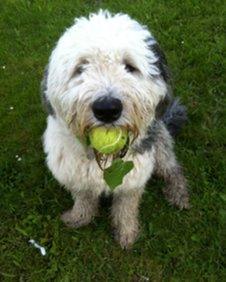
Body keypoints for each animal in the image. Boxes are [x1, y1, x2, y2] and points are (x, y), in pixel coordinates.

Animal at [41, 9, 189, 248]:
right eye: (81, 68)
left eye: (130, 67)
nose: (107, 109)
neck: (103, 158)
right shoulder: (74, 174)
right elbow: (83, 198)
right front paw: (78, 218)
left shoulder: (133, 180)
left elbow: (126, 207)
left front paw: (127, 233)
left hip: (160, 144)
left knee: (172, 169)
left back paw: (179, 194)